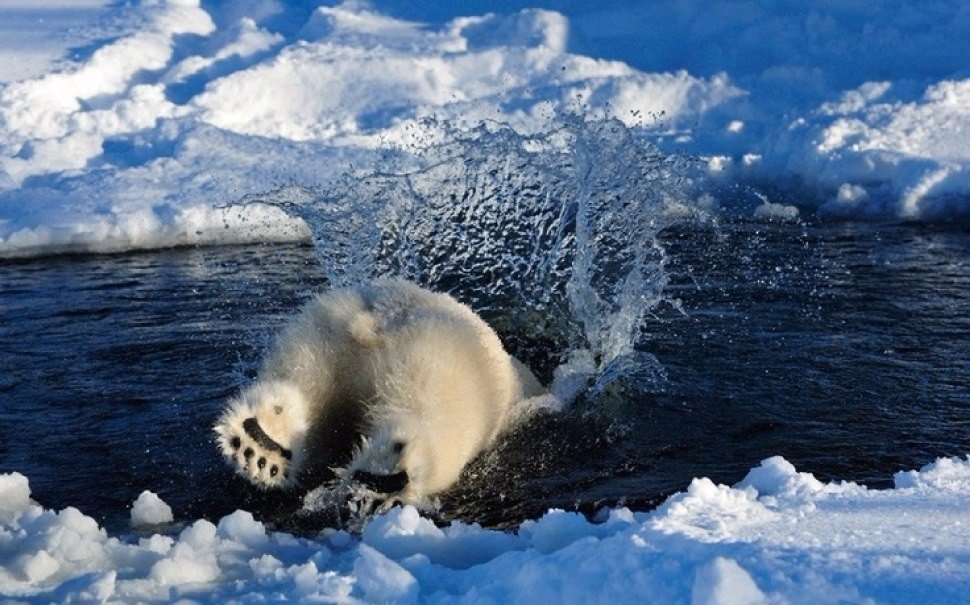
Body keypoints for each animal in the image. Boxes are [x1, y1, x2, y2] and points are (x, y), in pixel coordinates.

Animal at [214, 278, 544, 504]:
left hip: (323, 334)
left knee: (305, 378)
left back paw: (260, 443)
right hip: (457, 367)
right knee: (438, 416)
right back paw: (388, 474)